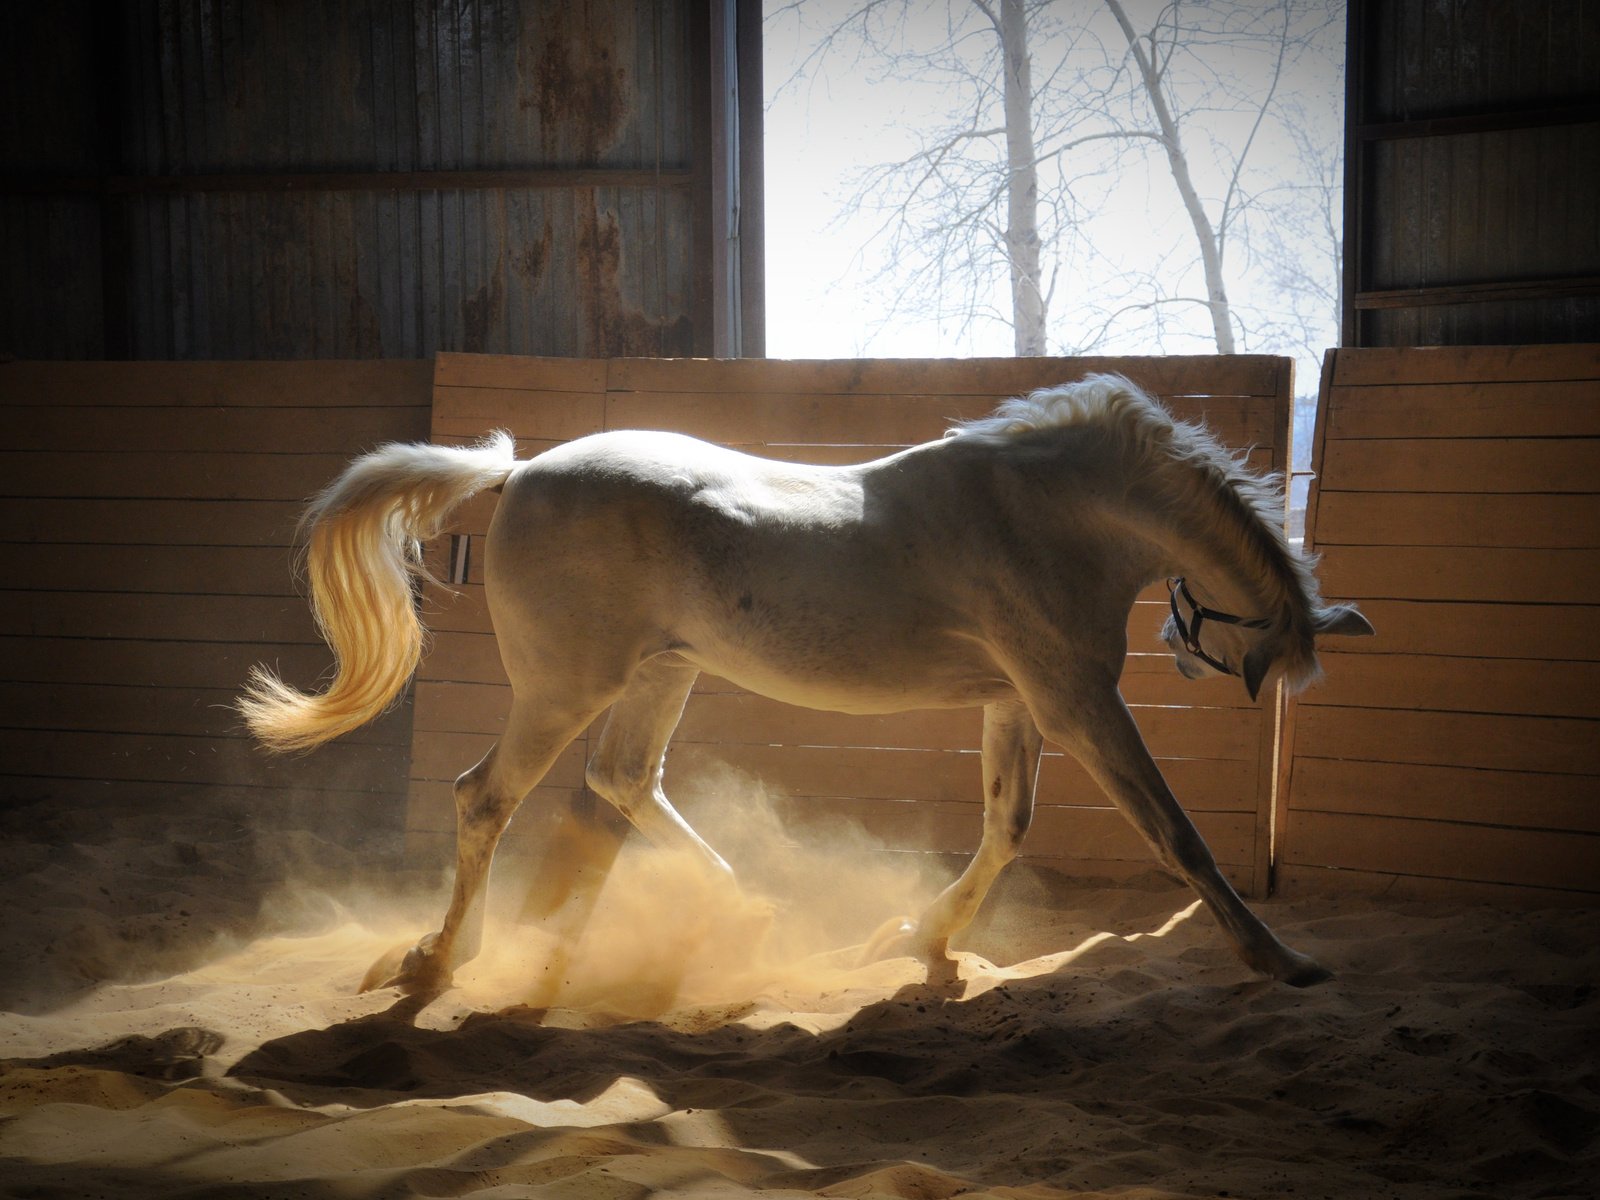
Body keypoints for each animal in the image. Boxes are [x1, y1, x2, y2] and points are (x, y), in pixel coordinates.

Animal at [243, 374, 1369, 998]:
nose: (1190, 654)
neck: (1047, 510)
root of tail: (518, 474)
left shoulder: (1018, 705)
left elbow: (1006, 828)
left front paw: (918, 940)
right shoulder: (1077, 702)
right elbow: (1176, 837)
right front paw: (1282, 960)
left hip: (662, 674)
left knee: (623, 781)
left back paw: (746, 910)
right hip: (564, 688)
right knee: (487, 797)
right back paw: (438, 961)